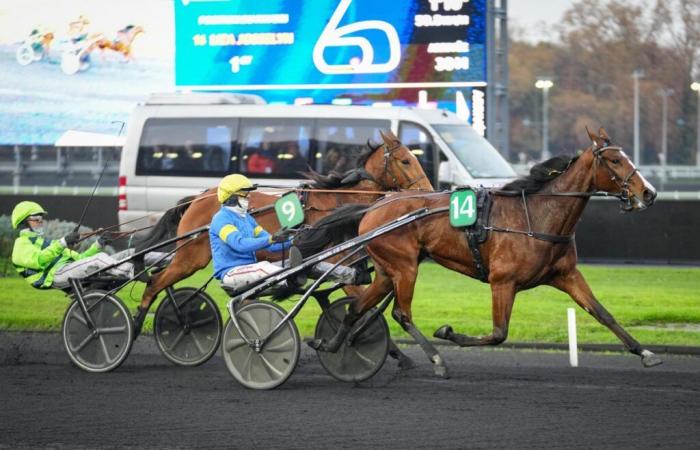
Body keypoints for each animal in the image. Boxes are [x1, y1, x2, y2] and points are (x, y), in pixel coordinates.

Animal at [306, 128, 660, 378]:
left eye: (624, 157)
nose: (649, 192)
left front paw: (645, 353)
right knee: (401, 313)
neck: (536, 215)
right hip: (405, 268)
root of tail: (374, 207)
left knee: (358, 309)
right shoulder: (503, 281)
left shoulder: (566, 275)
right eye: (614, 161)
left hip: (386, 270)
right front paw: (449, 333)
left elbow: (603, 313)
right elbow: (498, 334)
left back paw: (335, 344)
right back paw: (436, 359)